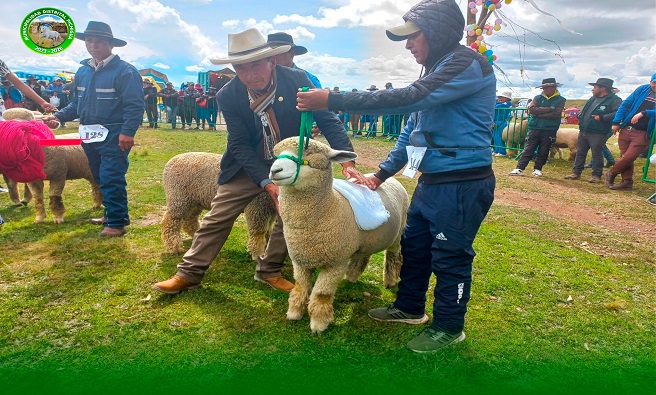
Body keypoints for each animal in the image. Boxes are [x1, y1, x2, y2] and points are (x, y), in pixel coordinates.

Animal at [270, 138, 408, 332]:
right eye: (276, 154)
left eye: (308, 152)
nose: (275, 170)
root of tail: (394, 180)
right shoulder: (300, 259)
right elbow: (300, 287)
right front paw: (294, 313)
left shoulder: (335, 263)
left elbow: (322, 293)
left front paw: (319, 323)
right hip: (367, 238)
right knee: (364, 254)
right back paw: (352, 276)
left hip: (398, 234)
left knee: (393, 256)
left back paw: (390, 280)